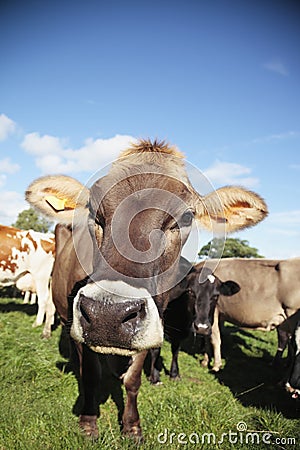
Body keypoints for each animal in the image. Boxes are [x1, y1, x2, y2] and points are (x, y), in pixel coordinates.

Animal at [24, 139, 266, 442]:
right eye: (93, 210)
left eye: (187, 217)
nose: (108, 314)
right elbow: (91, 375)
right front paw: (89, 422)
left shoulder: (150, 323)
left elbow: (133, 379)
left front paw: (132, 427)